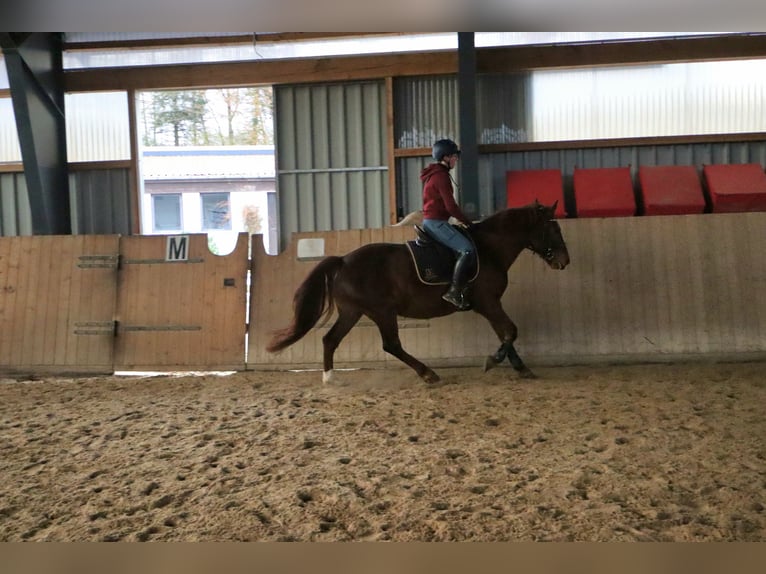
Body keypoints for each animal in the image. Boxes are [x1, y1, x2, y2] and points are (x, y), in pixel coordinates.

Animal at [266, 201, 570, 384]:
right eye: (552, 228)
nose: (564, 261)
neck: (489, 249)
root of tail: (343, 260)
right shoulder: (488, 302)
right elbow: (511, 331)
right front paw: (492, 361)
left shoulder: (490, 304)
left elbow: (505, 334)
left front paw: (521, 368)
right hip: (382, 312)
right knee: (391, 345)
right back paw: (428, 373)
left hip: (353, 312)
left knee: (331, 339)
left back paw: (330, 378)